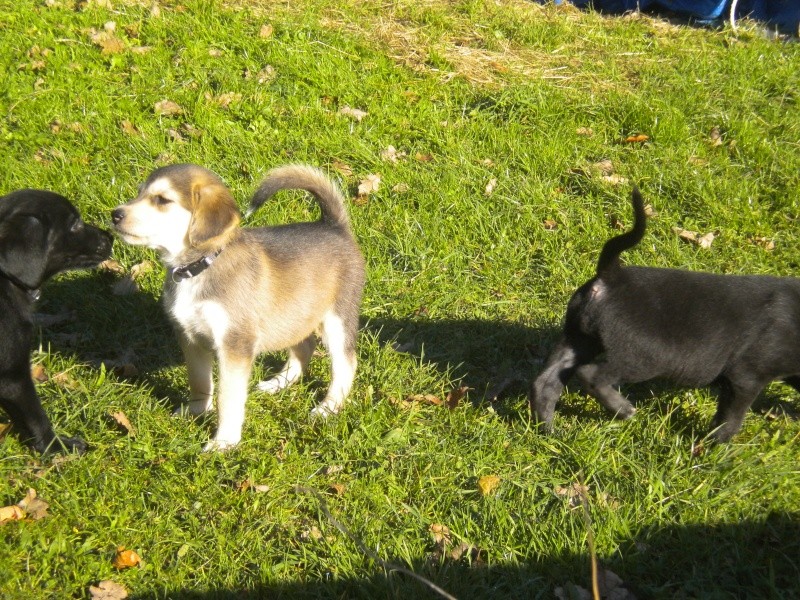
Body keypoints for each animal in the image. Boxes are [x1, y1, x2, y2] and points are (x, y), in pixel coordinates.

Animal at [110, 164, 366, 450]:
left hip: (337, 319)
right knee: (304, 347)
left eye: (162, 200)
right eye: (139, 193)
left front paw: (224, 441)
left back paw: (328, 407)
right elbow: (199, 380)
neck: (200, 266)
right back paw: (278, 383)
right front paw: (196, 411)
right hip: (295, 315)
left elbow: (228, 398)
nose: (115, 215)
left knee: (346, 364)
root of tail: (333, 225)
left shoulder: (234, 344)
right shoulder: (189, 337)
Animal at [532, 188, 800, 440]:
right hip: (647, 356)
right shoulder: (746, 378)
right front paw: (716, 446)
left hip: (579, 338)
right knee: (590, 374)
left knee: (546, 382)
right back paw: (623, 409)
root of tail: (613, 276)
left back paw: (549, 430)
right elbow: (730, 419)